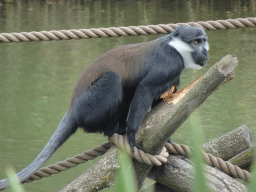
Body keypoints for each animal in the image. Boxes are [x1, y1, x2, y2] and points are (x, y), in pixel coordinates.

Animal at [0, 24, 208, 190]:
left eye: (204, 41)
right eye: (196, 42)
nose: (206, 52)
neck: (176, 48)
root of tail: (73, 106)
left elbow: (161, 106)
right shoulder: (169, 64)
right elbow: (144, 89)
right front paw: (132, 134)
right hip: (89, 107)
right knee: (114, 81)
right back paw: (115, 130)